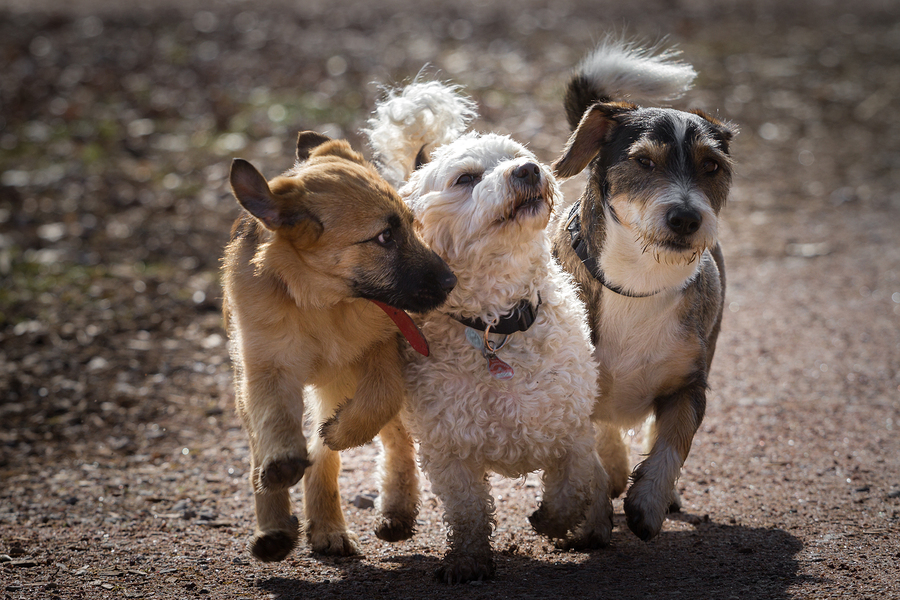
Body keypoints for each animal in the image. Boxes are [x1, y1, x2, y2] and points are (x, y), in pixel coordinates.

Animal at [219, 131, 458, 564]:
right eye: (384, 236)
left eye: (412, 225)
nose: (451, 282)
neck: (321, 304)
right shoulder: (265, 367)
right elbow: (273, 421)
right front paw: (280, 468)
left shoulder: (379, 348)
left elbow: (378, 400)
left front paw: (340, 433)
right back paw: (278, 527)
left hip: (339, 383)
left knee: (386, 441)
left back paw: (366, 516)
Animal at [364, 82, 612, 584]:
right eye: (465, 179)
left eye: (517, 156)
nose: (528, 169)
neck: (498, 325)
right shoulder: (449, 450)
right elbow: (467, 511)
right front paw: (468, 560)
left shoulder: (572, 428)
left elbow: (572, 486)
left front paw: (553, 520)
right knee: (397, 453)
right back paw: (396, 512)